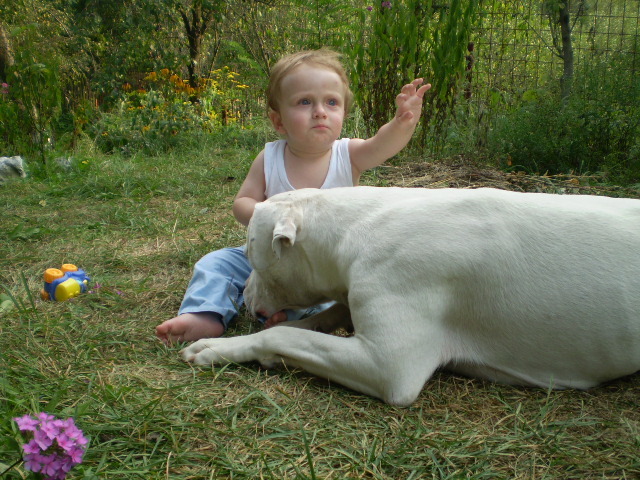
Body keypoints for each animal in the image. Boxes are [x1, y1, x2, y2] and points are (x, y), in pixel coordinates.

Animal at [180, 187, 640, 404]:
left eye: (250, 252)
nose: (242, 297)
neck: (354, 229)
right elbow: (313, 322)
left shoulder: (387, 366)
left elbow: (284, 334)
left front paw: (217, 347)